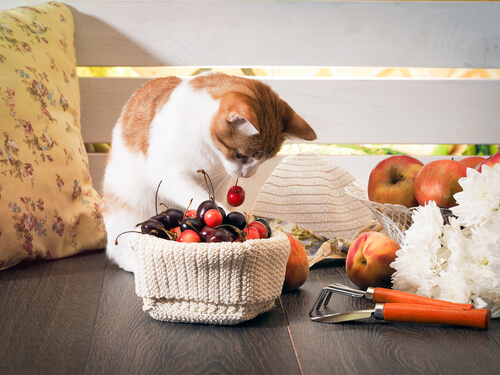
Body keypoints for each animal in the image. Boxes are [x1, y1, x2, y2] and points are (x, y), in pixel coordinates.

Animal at [101, 72, 316, 274]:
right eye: (240, 154)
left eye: (264, 160)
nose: (247, 174)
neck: (210, 151)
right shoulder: (166, 172)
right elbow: (198, 194)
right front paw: (225, 213)